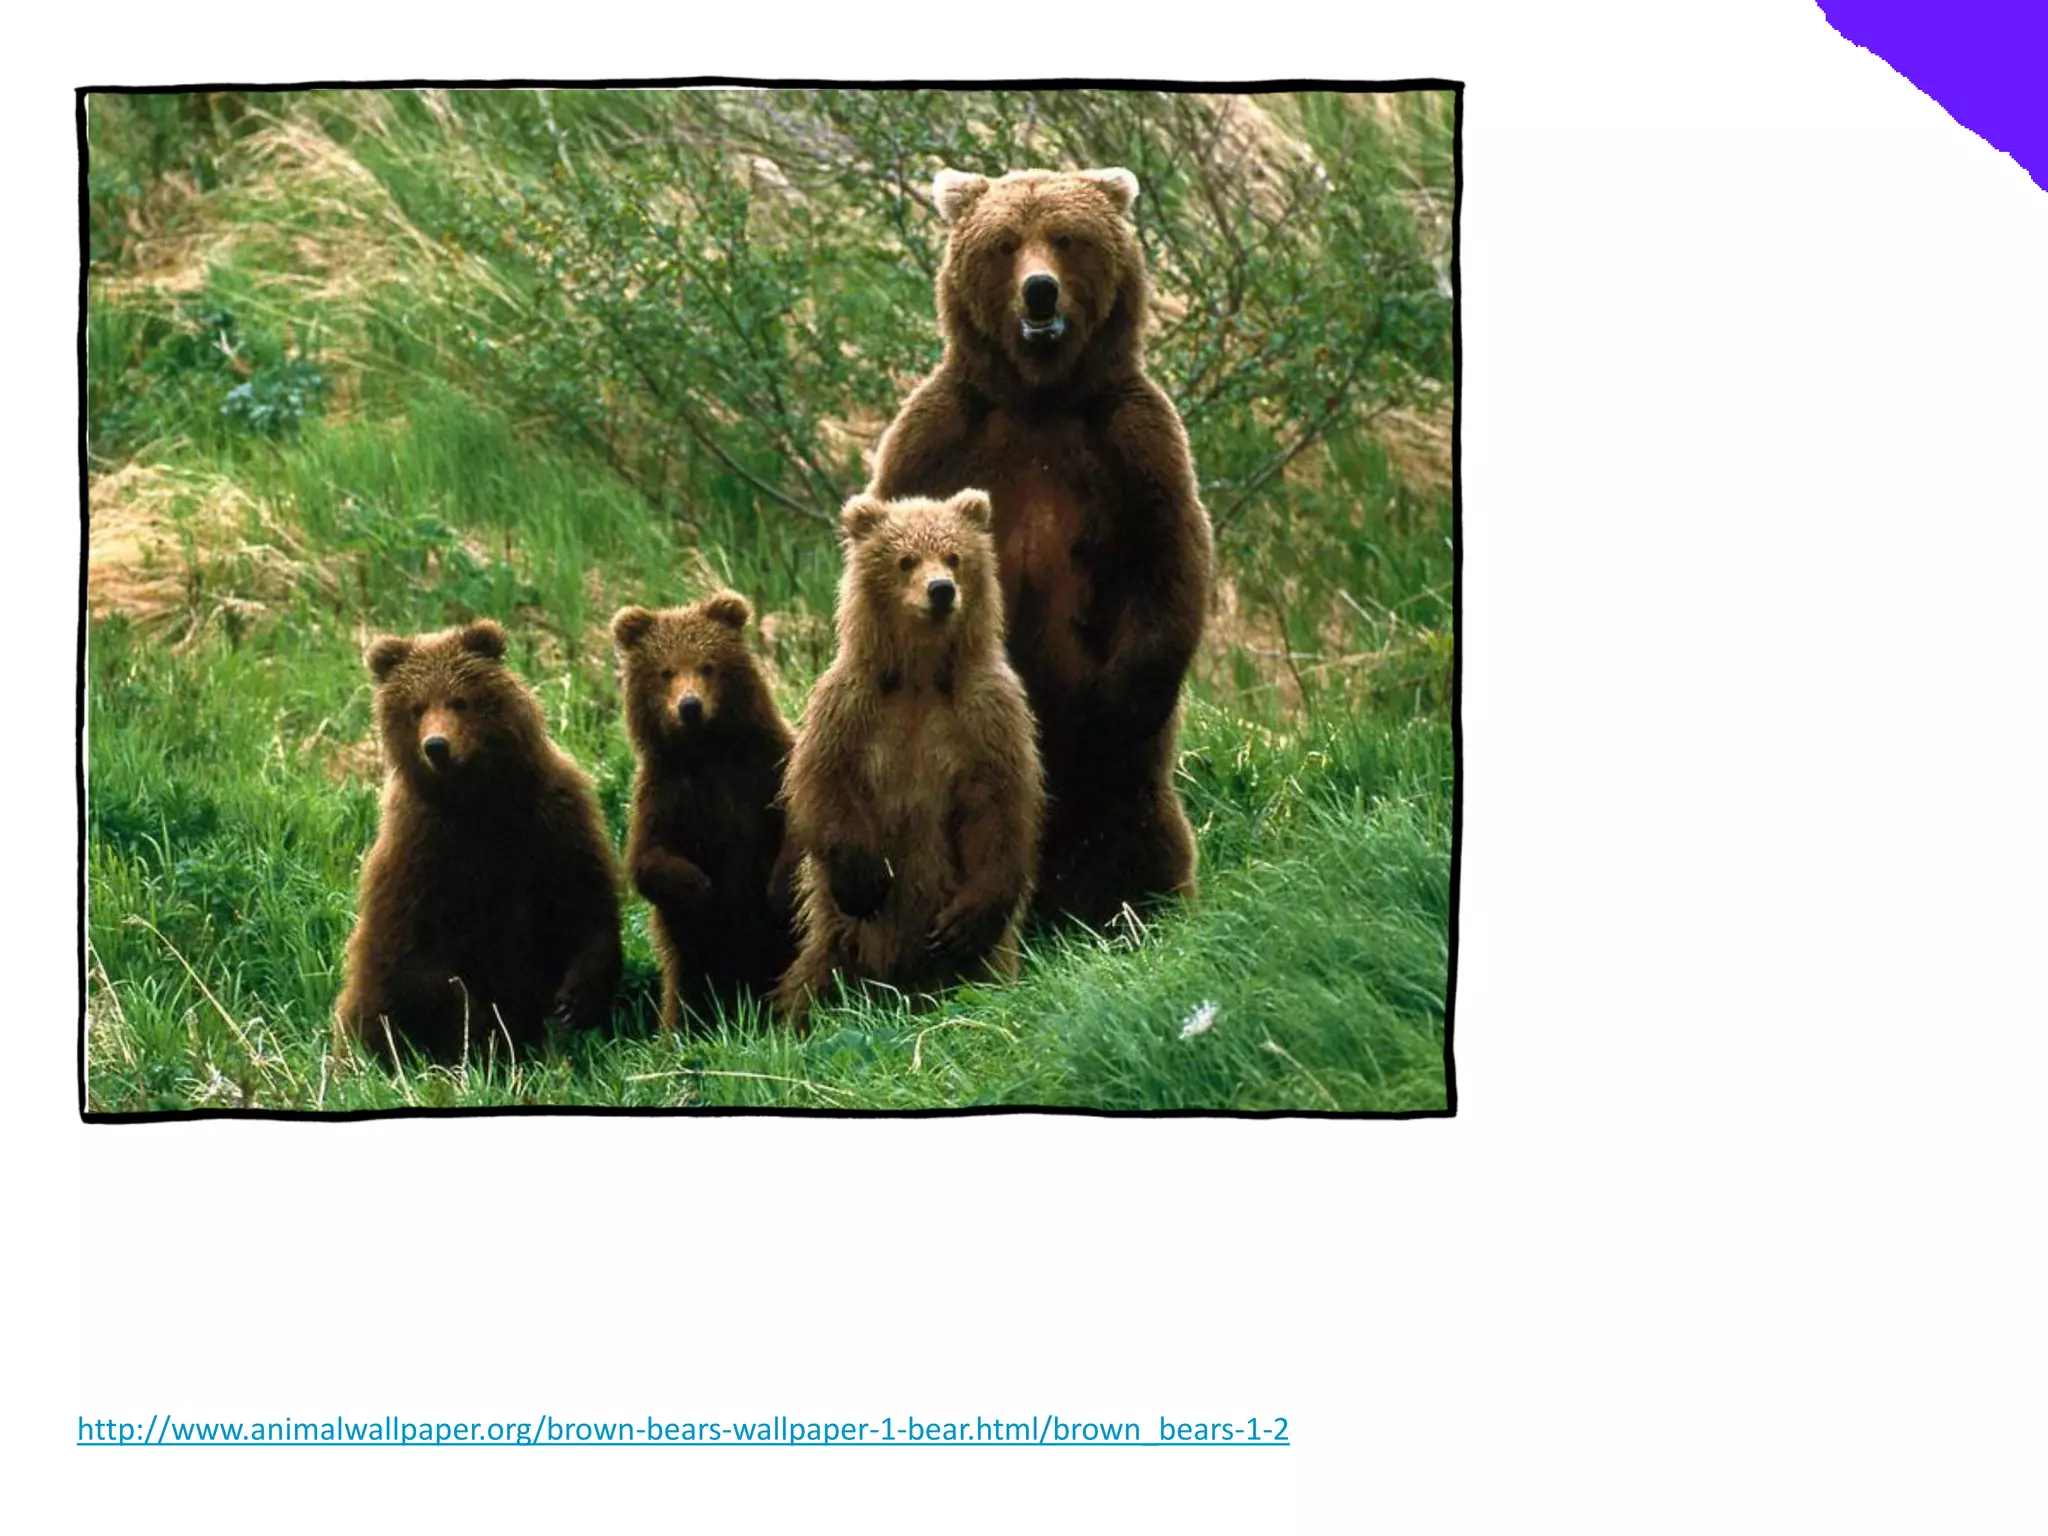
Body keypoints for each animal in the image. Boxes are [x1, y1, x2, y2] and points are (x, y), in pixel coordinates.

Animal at [335, 619, 622, 1063]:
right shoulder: (420, 849)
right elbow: (412, 951)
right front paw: (480, 1025)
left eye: (459, 700)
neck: (478, 801)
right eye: (417, 707)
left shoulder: (552, 820)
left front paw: (575, 1000)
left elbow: (586, 901)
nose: (436, 746)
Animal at [612, 591, 799, 1029]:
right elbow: (648, 859)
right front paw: (702, 888)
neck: (708, 751)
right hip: (691, 961)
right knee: (686, 991)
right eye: (665, 671)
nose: (690, 706)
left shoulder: (765, 768)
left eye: (707, 665)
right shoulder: (666, 794)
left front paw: (776, 890)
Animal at [773, 490, 1044, 1027]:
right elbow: (823, 783)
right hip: (839, 942)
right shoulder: (850, 707)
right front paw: (865, 876)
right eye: (905, 559)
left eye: (955, 556)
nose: (940, 591)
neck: (919, 676)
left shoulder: (987, 714)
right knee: (813, 980)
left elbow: (1000, 805)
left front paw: (964, 921)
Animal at [865, 165, 1214, 930]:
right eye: (1004, 243)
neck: (1040, 396)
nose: (1040, 290)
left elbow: (1166, 560)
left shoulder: (1134, 443)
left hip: (1124, 792)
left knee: (1137, 829)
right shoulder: (938, 436)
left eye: (1066, 236)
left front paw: (1117, 705)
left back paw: (1134, 909)